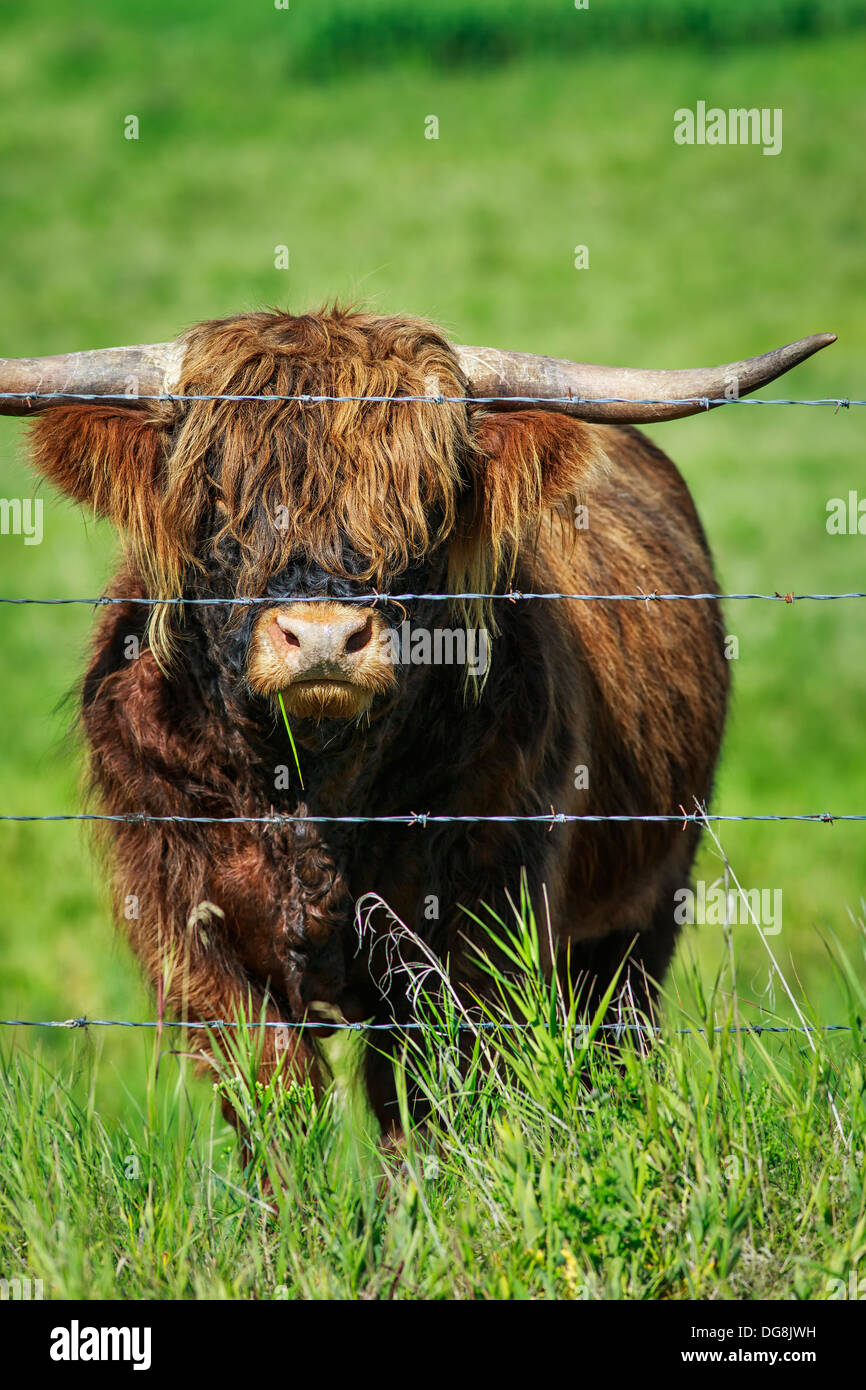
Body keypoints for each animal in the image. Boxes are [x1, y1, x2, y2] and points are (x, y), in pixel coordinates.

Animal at [1, 309, 839, 1134]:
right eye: (216, 501)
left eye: (424, 503)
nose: (323, 637)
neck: (313, 791)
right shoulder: (186, 932)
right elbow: (274, 1096)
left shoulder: (477, 933)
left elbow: (426, 1103)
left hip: (642, 915)